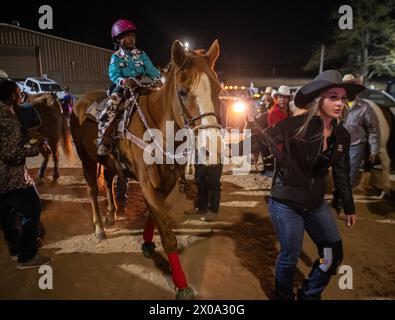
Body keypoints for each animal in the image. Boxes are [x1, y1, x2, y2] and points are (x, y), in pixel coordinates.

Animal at [71, 40, 224, 300]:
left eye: (218, 89)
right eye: (183, 92)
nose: (212, 148)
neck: (158, 128)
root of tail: (80, 102)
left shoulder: (166, 182)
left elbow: (155, 217)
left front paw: (147, 243)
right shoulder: (148, 185)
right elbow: (168, 235)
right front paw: (181, 284)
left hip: (108, 162)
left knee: (109, 181)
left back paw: (111, 212)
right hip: (86, 160)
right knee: (92, 190)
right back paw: (99, 227)